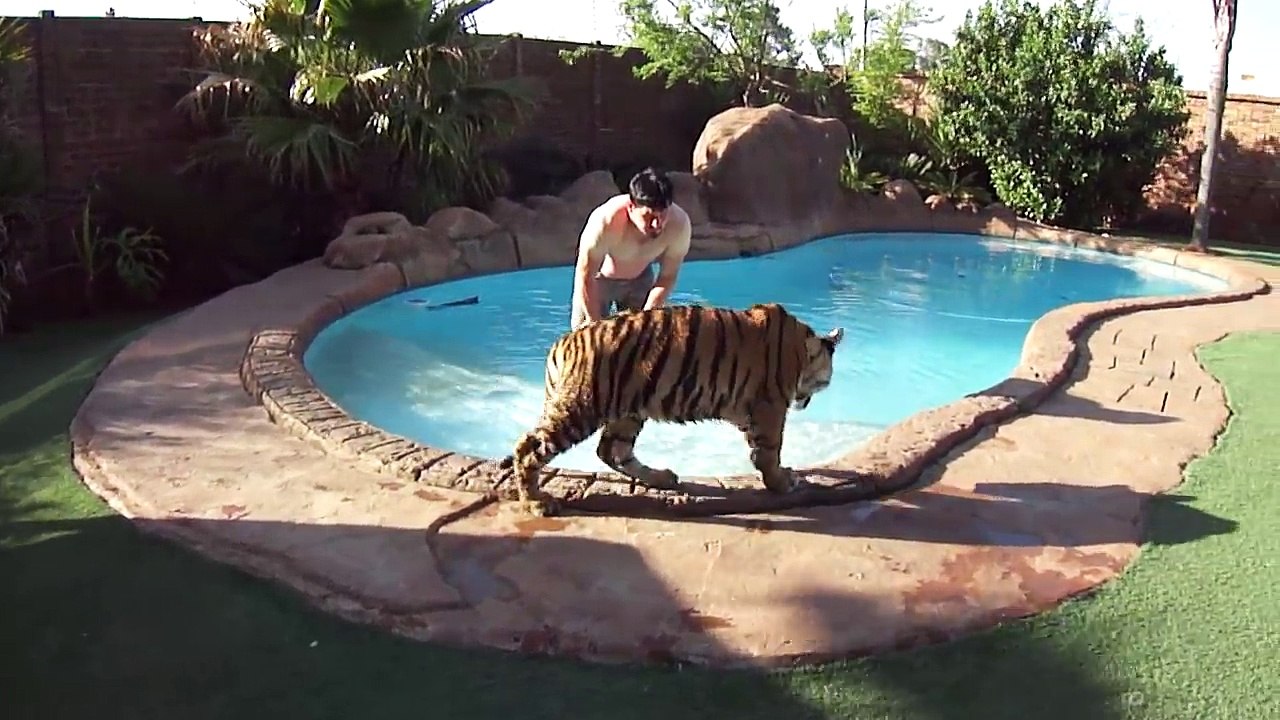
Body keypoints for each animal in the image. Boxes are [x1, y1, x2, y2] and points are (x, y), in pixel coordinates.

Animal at [498, 302, 846, 516]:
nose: (805, 403)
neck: (802, 349)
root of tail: (562, 342)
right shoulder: (769, 407)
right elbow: (770, 452)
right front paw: (783, 482)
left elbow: (759, 451)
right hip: (580, 407)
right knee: (529, 448)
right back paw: (537, 503)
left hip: (627, 411)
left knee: (611, 450)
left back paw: (661, 477)